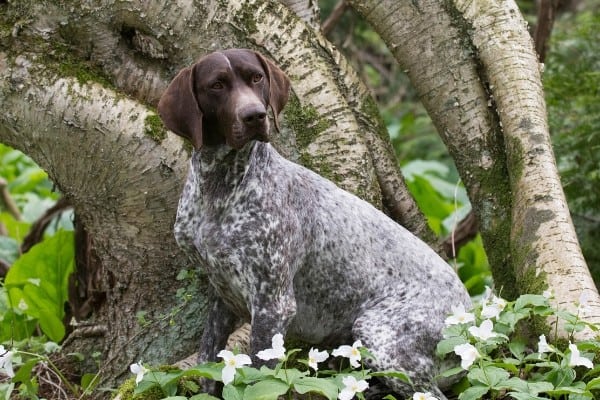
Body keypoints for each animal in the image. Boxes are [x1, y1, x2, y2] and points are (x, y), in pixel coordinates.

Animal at [157, 49, 472, 396]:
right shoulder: (221, 296)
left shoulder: (273, 304)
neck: (220, 188)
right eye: (216, 85)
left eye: (256, 78)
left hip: (380, 335)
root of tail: (470, 314)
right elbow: (208, 366)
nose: (255, 116)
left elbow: (259, 377)